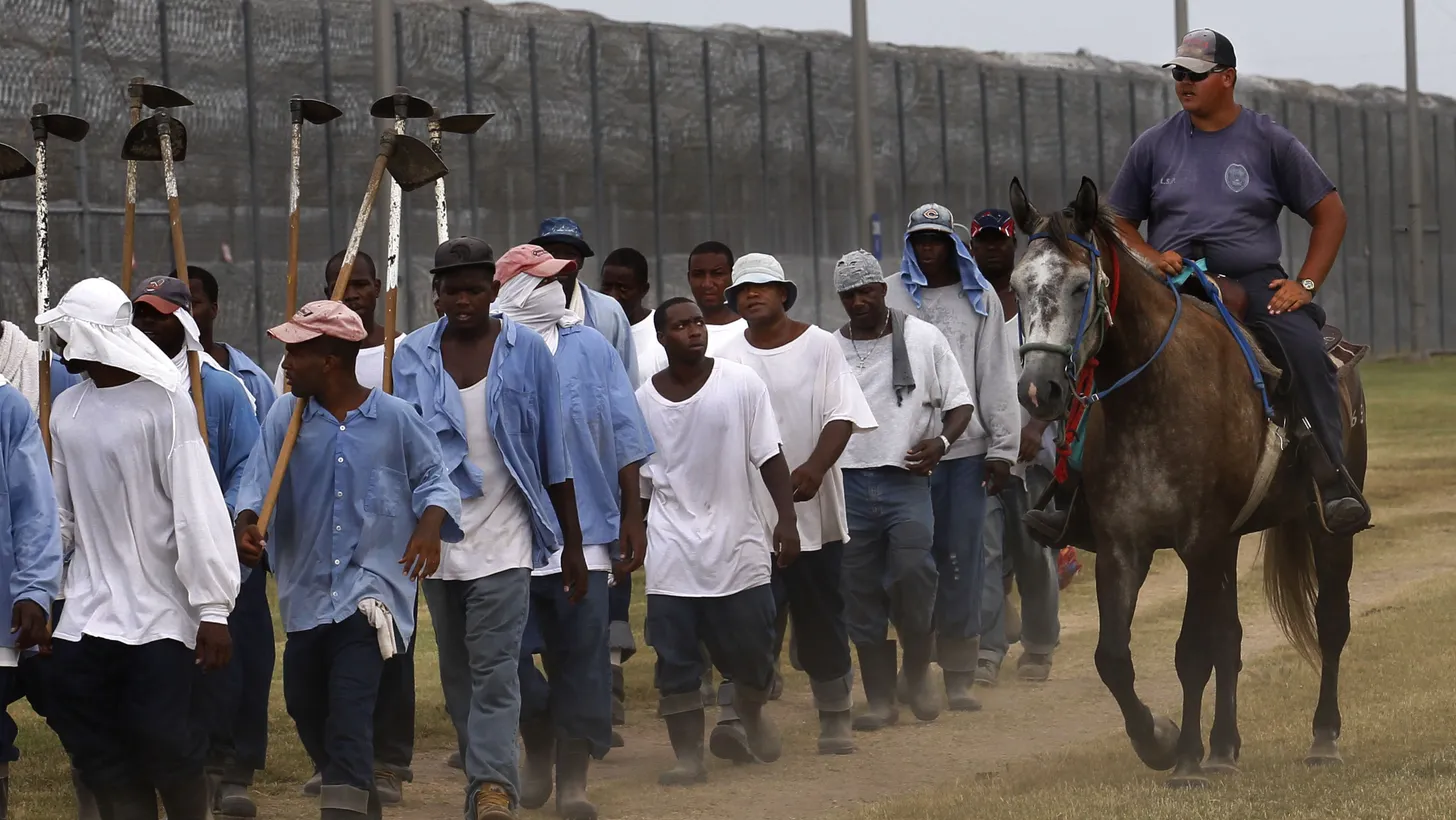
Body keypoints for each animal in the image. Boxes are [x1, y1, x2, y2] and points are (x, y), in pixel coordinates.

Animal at [1007, 176, 1368, 786]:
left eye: (1081, 286)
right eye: (1015, 286)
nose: (1039, 389)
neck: (1152, 391)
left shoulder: (1198, 542)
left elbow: (1191, 653)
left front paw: (1185, 762)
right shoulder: (1124, 546)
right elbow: (1114, 657)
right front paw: (1161, 739)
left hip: (1324, 528)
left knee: (1331, 622)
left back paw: (1323, 738)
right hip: (1229, 542)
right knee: (1232, 637)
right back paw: (1224, 747)